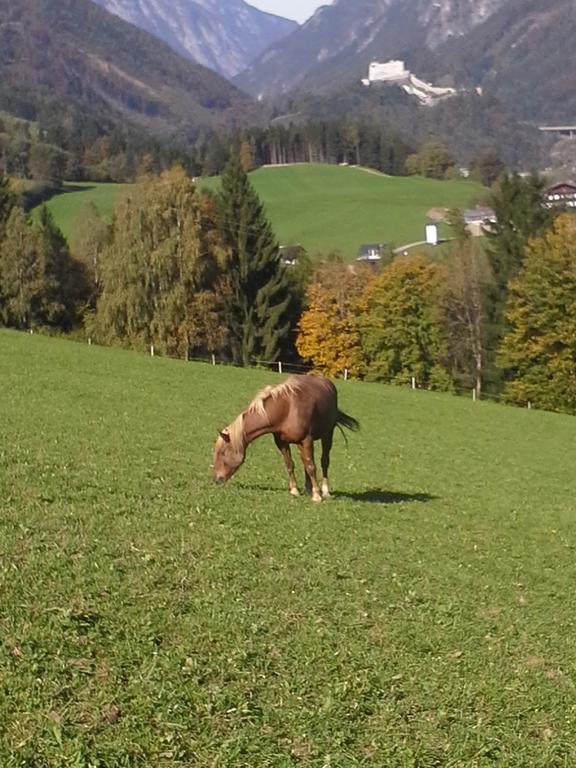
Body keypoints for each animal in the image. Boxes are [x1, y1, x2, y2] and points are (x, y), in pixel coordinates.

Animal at [212, 374, 360, 504]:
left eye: (222, 453)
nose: (216, 480)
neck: (286, 409)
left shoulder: (306, 440)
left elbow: (312, 466)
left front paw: (317, 496)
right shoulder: (282, 442)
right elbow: (290, 464)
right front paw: (294, 490)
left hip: (327, 434)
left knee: (324, 461)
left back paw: (324, 491)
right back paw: (308, 488)